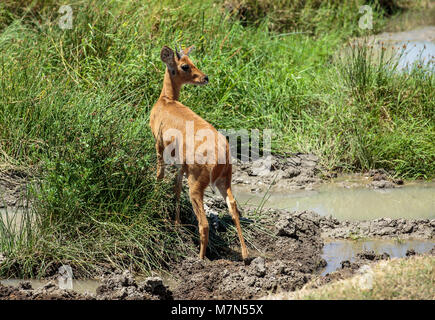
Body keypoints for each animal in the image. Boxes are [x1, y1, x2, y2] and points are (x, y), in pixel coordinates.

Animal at [149, 44, 247, 260]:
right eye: (186, 65)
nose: (205, 77)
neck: (166, 101)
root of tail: (221, 157)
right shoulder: (181, 163)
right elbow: (176, 186)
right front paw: (176, 223)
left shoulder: (159, 144)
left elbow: (159, 175)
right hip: (224, 180)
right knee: (233, 207)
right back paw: (245, 255)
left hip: (196, 183)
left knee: (204, 223)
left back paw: (200, 259)